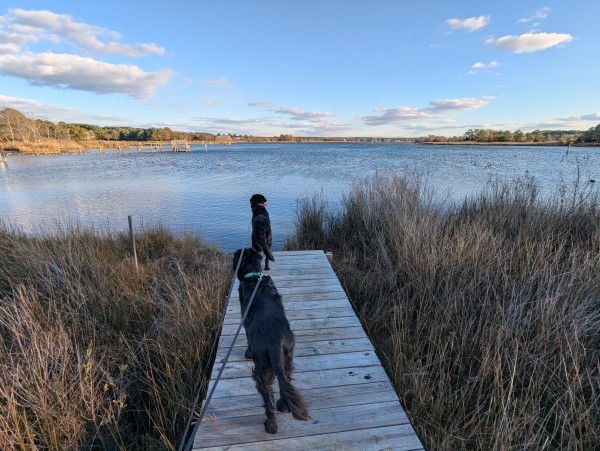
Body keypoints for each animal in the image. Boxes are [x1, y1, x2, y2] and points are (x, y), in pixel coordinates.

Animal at [234, 247, 310, 434]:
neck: (255, 278)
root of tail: (274, 341)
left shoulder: (246, 323)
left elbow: (247, 338)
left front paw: (247, 353)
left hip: (261, 367)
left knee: (267, 397)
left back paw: (271, 425)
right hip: (287, 356)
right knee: (286, 380)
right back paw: (283, 405)